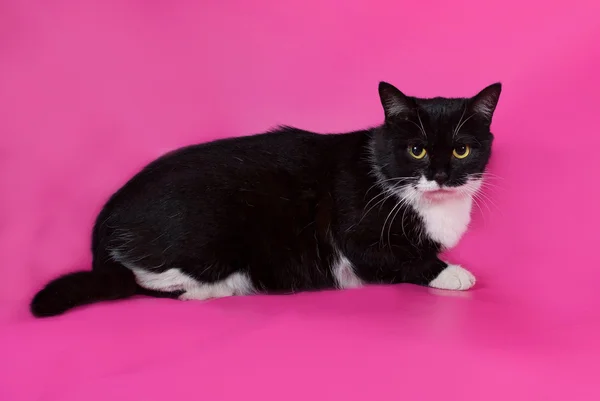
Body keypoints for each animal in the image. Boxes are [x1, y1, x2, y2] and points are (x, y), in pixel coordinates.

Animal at [31, 83, 502, 318]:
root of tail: (107, 215)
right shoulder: (357, 233)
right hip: (209, 229)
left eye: (462, 150)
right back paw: (215, 289)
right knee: (144, 279)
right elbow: (400, 257)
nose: (440, 174)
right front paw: (452, 272)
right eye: (417, 150)